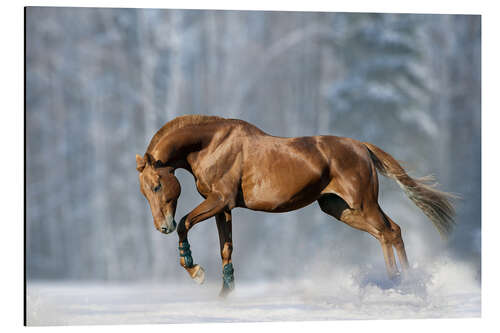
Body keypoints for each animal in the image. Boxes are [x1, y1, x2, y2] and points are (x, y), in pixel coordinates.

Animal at [135, 115, 456, 296]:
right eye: (144, 192)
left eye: (157, 185)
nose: (162, 226)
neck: (211, 144)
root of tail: (362, 147)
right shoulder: (223, 208)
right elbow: (226, 248)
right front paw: (225, 294)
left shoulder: (218, 200)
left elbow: (186, 223)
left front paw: (195, 271)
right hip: (341, 209)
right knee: (388, 232)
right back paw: (402, 282)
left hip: (363, 203)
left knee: (390, 232)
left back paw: (402, 285)